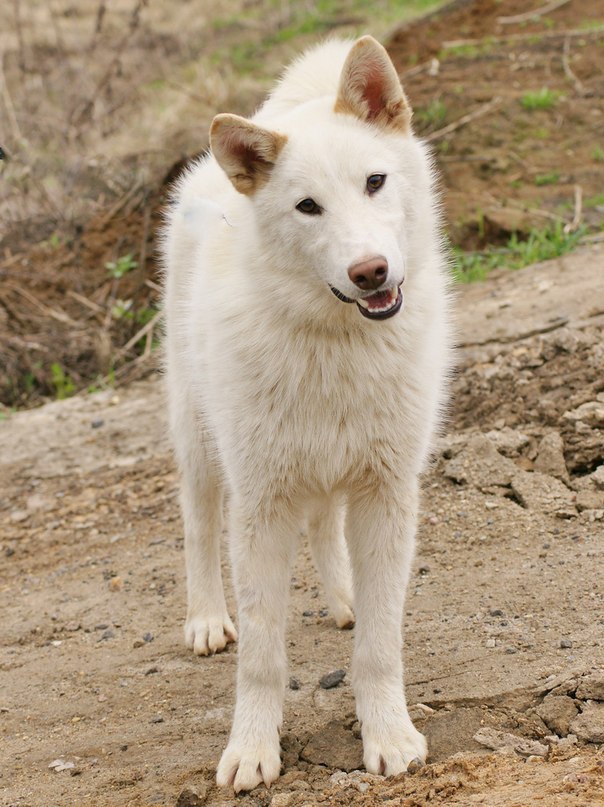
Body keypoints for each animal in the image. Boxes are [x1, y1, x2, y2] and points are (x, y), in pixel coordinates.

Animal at [163, 34, 450, 792]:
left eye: (375, 181)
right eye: (308, 207)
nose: (370, 271)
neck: (336, 343)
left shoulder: (386, 492)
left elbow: (380, 644)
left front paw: (389, 737)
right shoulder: (261, 506)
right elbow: (262, 657)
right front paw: (251, 750)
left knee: (326, 526)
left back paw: (343, 596)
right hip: (198, 439)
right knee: (197, 525)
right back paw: (207, 619)